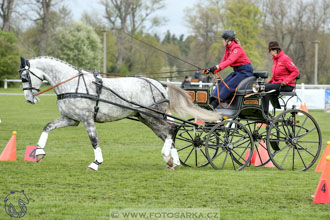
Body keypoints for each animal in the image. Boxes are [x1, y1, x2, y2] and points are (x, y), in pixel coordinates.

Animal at [18, 56, 219, 170]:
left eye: (25, 76)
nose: (29, 99)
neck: (72, 85)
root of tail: (159, 84)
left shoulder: (87, 119)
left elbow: (94, 140)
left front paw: (96, 163)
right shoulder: (70, 119)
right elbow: (47, 127)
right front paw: (39, 152)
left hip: (151, 116)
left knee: (172, 129)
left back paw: (168, 157)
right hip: (148, 118)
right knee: (169, 133)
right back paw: (173, 161)